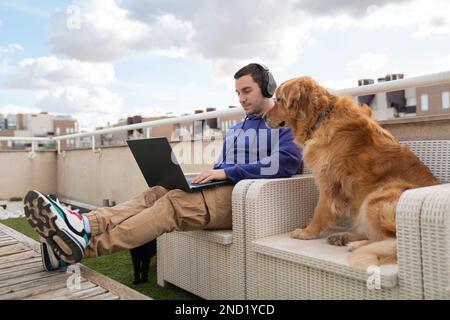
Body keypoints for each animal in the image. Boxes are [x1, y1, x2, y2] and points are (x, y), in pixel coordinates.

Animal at [266, 77, 438, 268]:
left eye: (278, 100)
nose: (264, 117)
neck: (322, 117)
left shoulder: (330, 181)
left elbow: (320, 210)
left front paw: (308, 232)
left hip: (376, 197)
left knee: (391, 242)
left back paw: (357, 244)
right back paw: (343, 237)